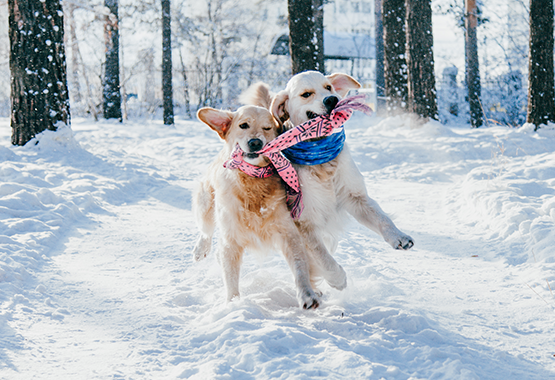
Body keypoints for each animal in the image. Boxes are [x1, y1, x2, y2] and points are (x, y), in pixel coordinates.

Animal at [193, 104, 322, 308]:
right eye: (243, 125)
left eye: (267, 128)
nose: (255, 142)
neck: (252, 182)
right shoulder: (231, 239)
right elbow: (231, 279)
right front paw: (233, 305)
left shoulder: (289, 233)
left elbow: (300, 266)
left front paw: (307, 295)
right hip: (206, 204)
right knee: (206, 230)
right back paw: (200, 250)